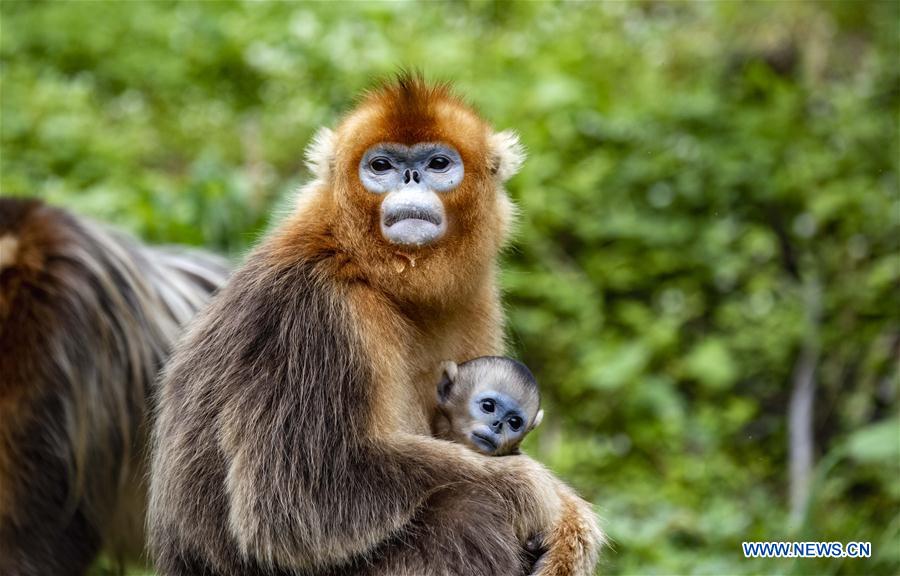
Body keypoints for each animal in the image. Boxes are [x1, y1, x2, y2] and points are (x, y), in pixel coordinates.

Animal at [149, 76, 604, 576]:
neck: (363, 265)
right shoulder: (316, 311)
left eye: (438, 163)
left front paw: (571, 527)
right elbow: (296, 503)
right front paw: (532, 489)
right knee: (467, 510)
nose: (411, 178)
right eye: (381, 166)